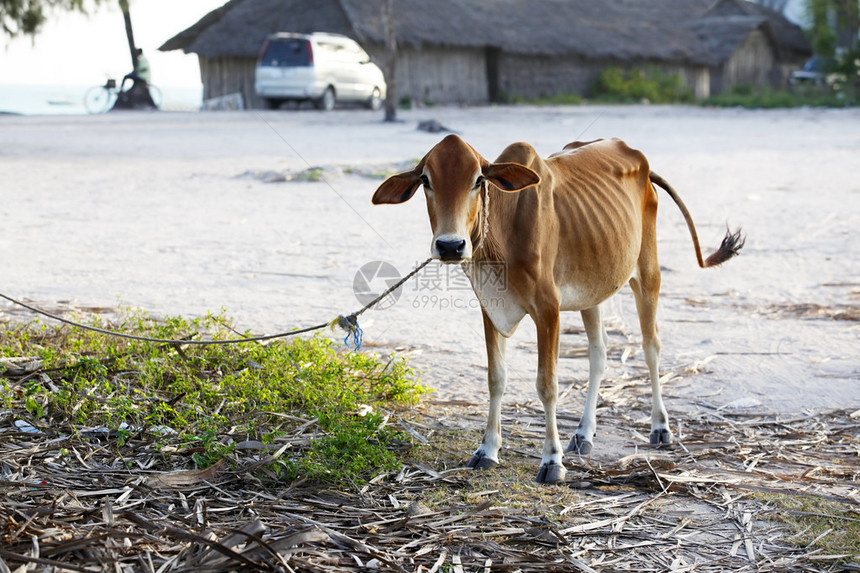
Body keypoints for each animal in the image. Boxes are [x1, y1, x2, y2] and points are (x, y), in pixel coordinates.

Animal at [372, 135, 744, 482]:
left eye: (478, 180)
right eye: (426, 180)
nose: (451, 245)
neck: (504, 232)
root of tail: (637, 156)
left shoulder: (548, 309)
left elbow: (547, 385)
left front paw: (552, 461)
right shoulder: (491, 307)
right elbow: (496, 379)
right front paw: (488, 450)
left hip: (647, 270)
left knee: (651, 347)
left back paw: (660, 427)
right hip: (593, 288)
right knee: (598, 353)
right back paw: (583, 434)